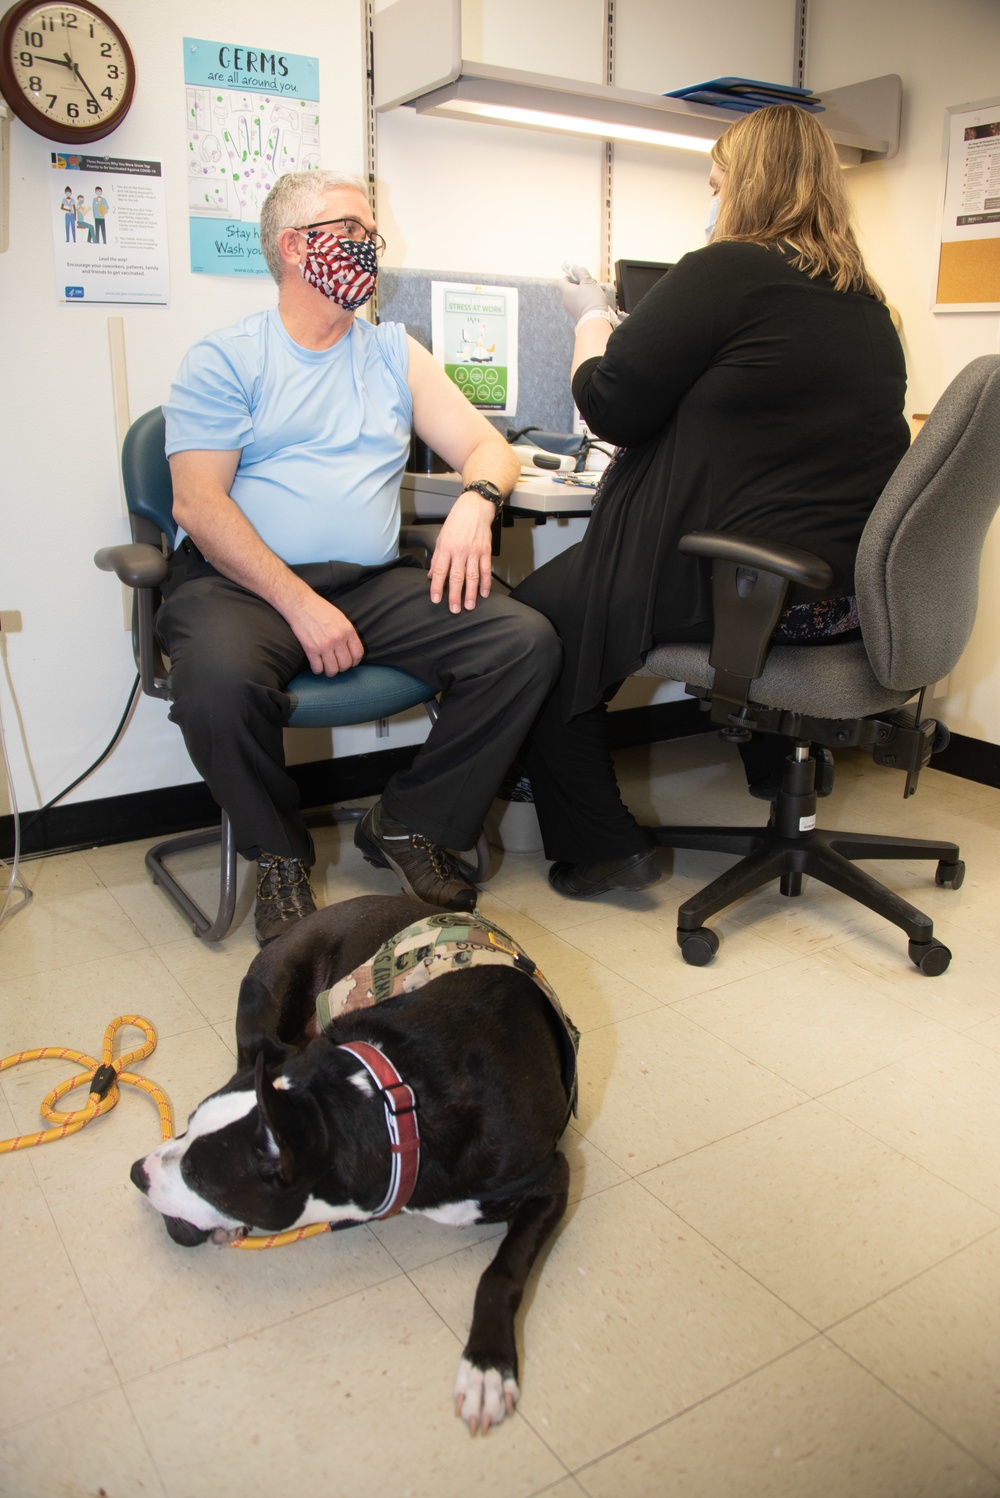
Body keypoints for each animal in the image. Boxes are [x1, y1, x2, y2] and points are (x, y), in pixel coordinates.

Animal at [130, 892, 577, 1432]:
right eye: (188, 1124)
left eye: (200, 1177)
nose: (136, 1173)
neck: (397, 1106)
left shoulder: (551, 1178)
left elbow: (502, 1272)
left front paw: (486, 1368)